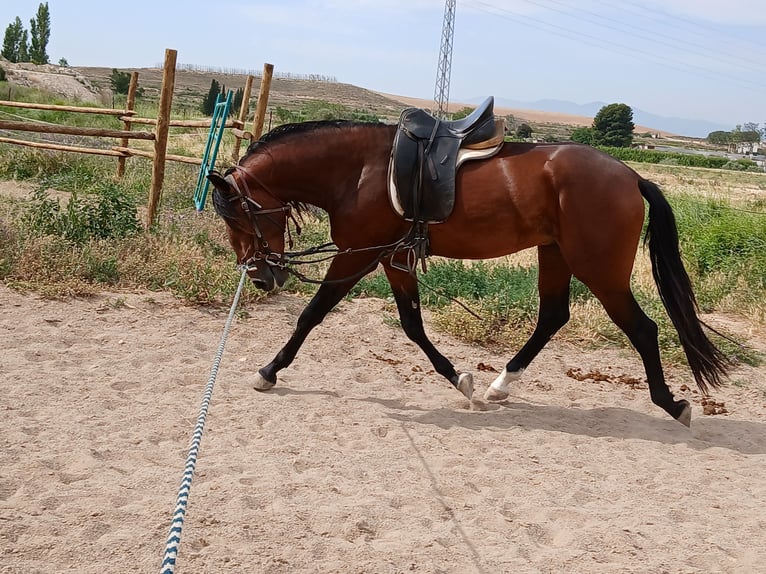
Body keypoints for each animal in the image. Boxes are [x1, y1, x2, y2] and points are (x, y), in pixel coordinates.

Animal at [208, 120, 732, 428]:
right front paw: (461, 379)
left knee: (642, 329)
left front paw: (269, 371)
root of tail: (630, 175)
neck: (359, 170)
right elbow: (413, 325)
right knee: (552, 317)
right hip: (555, 254)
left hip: (598, 269)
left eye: (237, 219)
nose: (260, 278)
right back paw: (501, 384)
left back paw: (672, 403)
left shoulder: (357, 254)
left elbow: (312, 314)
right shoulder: (391, 257)